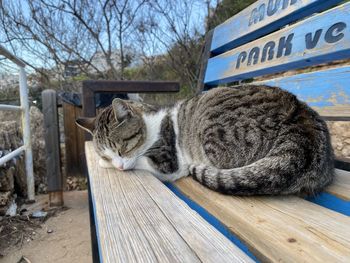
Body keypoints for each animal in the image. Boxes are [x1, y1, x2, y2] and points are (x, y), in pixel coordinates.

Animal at [76, 85, 334, 197]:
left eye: (123, 148)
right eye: (107, 152)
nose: (118, 165)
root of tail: (301, 120)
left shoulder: (168, 162)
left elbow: (141, 162)